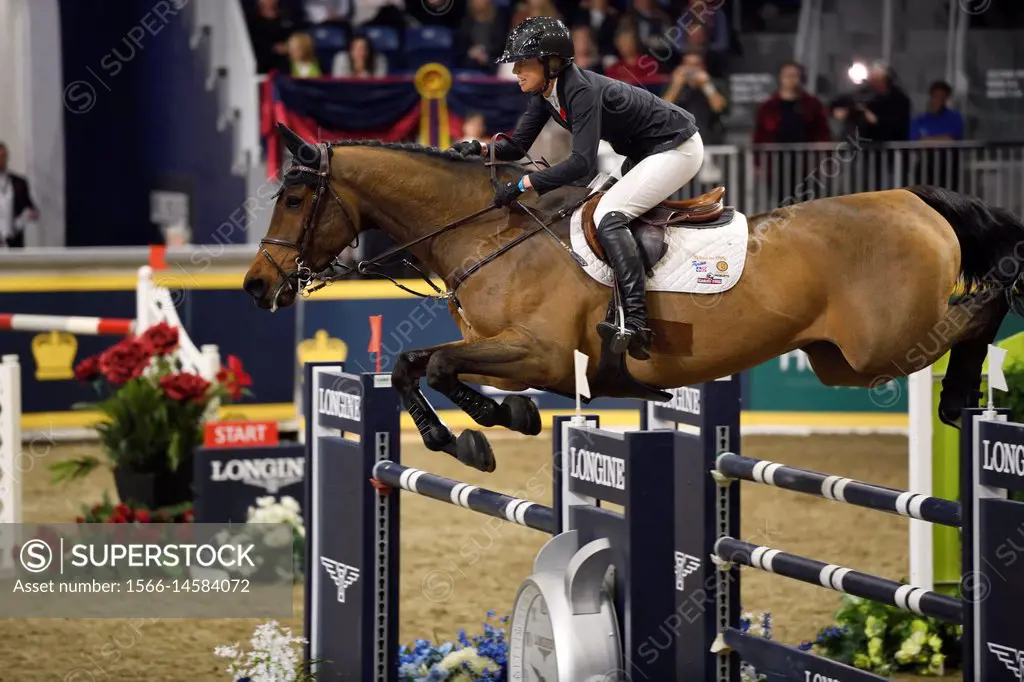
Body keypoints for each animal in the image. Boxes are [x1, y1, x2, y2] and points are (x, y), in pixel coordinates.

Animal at [245, 124, 1024, 471]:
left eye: (294, 199)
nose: (255, 285)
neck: (488, 232)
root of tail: (911, 197)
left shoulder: (538, 353)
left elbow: (432, 365)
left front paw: (486, 427)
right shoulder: (501, 350)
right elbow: (416, 364)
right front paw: (479, 429)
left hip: (884, 345)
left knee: (978, 311)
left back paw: (963, 393)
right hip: (841, 359)